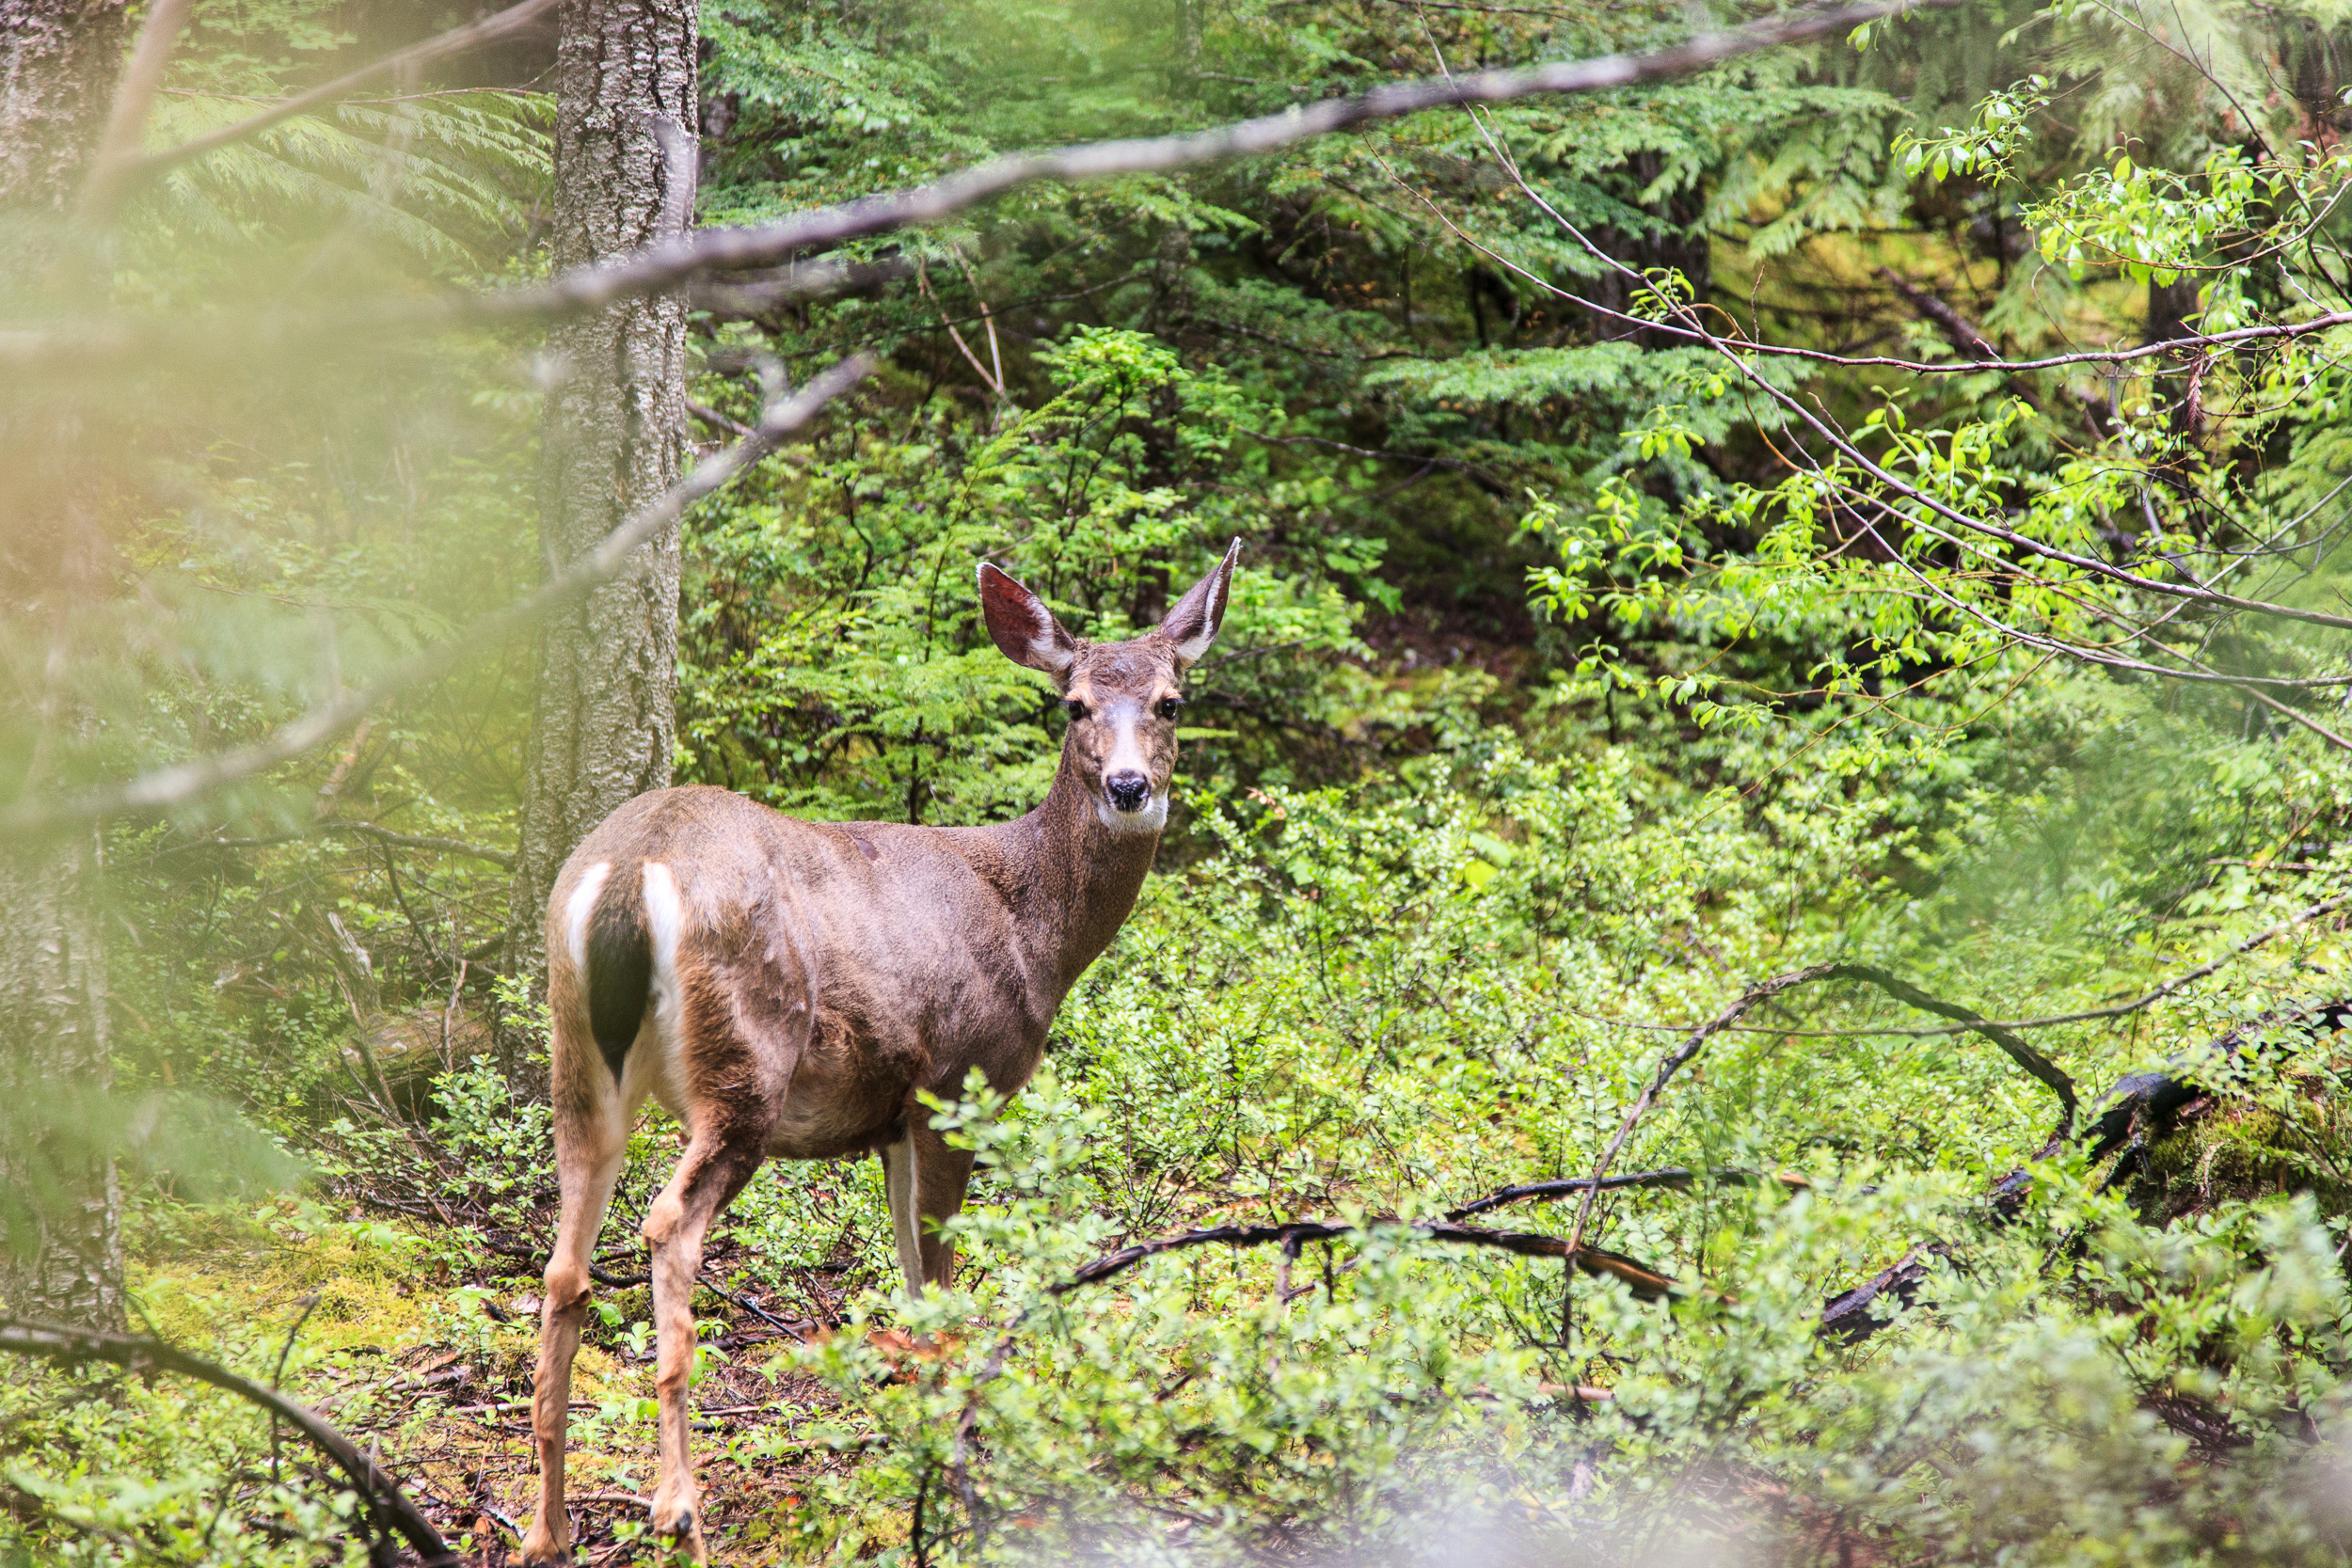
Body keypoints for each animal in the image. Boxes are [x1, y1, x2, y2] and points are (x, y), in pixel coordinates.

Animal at [517, 541, 1242, 1564]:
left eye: (1172, 700)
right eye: (1073, 705)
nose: (1130, 787)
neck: (1037, 929)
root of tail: (627, 874)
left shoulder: (891, 1117)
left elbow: (907, 1286)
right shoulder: (957, 1081)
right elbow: (941, 1297)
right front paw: (955, 1466)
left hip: (578, 1057)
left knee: (562, 1263)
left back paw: (548, 1526)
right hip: (748, 1056)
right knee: (667, 1225)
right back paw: (679, 1507)